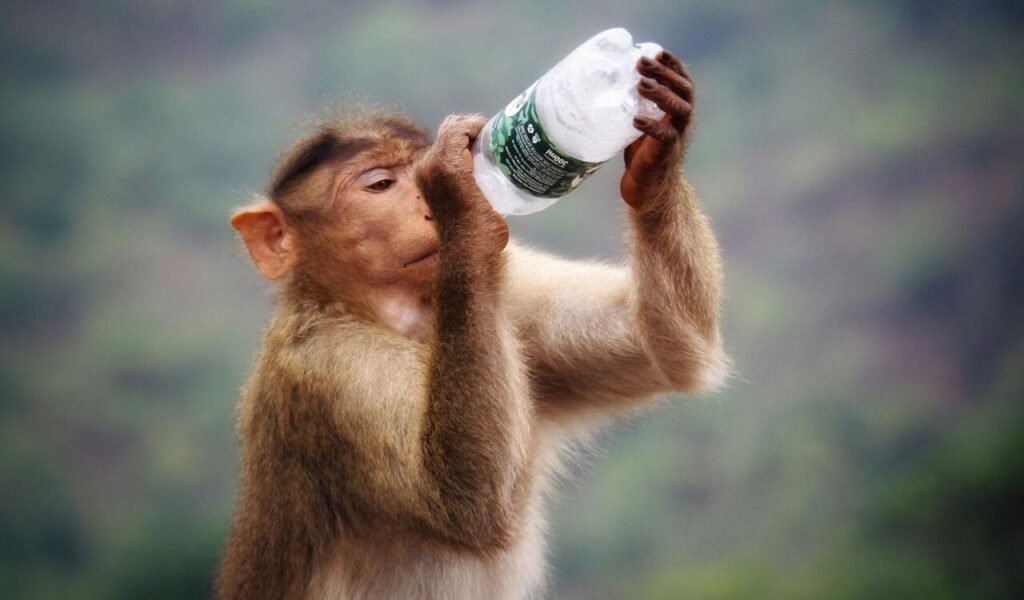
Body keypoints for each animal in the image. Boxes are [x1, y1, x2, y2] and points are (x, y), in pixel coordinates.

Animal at [217, 50, 727, 600]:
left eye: (409, 171)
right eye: (380, 184)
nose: (425, 205)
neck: (392, 316)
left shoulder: (511, 288)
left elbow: (664, 347)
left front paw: (657, 151)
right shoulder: (325, 367)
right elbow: (465, 500)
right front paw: (457, 193)